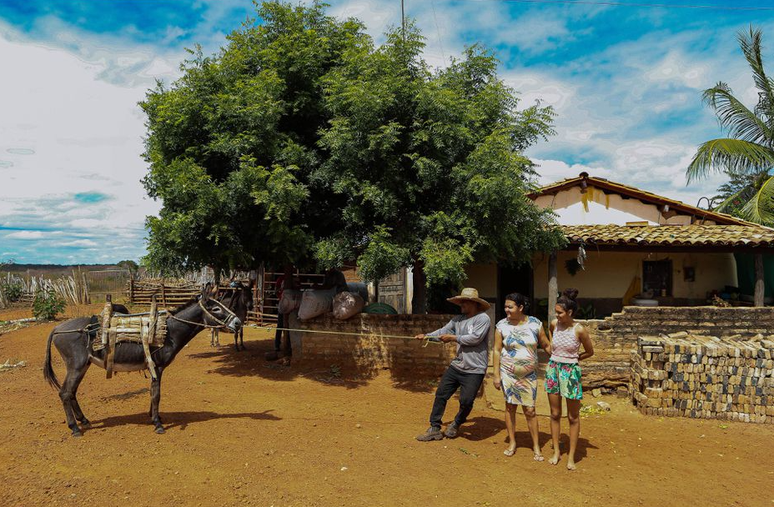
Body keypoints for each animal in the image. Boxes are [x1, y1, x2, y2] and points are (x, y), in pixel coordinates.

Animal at [43, 288, 242, 438]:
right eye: (215, 309)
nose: (239, 323)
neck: (168, 332)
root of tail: (57, 328)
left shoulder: (154, 368)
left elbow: (153, 393)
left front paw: (154, 416)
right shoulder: (158, 367)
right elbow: (156, 395)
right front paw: (157, 424)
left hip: (83, 365)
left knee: (71, 392)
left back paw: (83, 420)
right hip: (76, 365)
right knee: (65, 392)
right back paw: (75, 428)